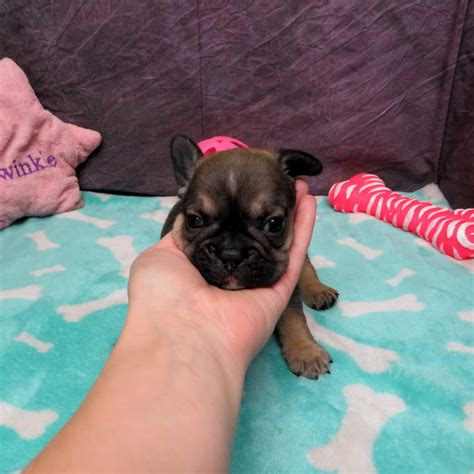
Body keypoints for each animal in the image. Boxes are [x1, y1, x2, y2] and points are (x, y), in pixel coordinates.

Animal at [161, 135, 338, 380]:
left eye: (274, 224)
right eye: (195, 220)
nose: (231, 255)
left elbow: (294, 318)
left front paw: (305, 352)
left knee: (306, 265)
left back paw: (319, 290)